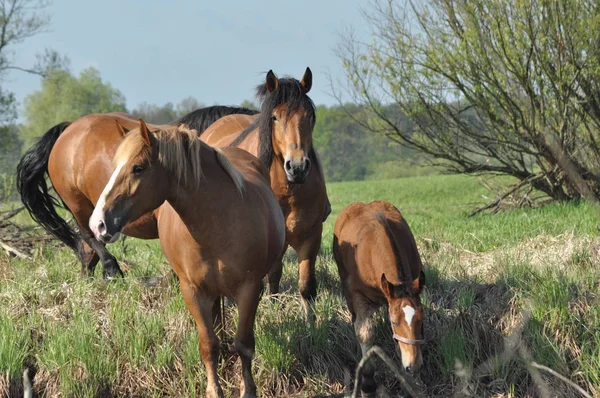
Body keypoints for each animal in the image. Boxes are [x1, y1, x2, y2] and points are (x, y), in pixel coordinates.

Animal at [88, 121, 286, 398]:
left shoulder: (250, 288)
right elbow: (208, 344)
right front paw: (214, 389)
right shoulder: (193, 291)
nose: (98, 224)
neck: (218, 221)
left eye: (138, 168)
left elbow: (244, 344)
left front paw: (247, 390)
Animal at [198, 67, 328, 318]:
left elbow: (306, 285)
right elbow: (270, 277)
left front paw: (311, 322)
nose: (297, 166)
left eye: (309, 116)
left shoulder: (311, 234)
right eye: (275, 117)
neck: (288, 191)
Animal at [332, 202, 426, 398]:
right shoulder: (357, 295)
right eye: (394, 322)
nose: (413, 366)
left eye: (421, 320)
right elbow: (365, 333)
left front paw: (411, 383)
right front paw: (368, 385)